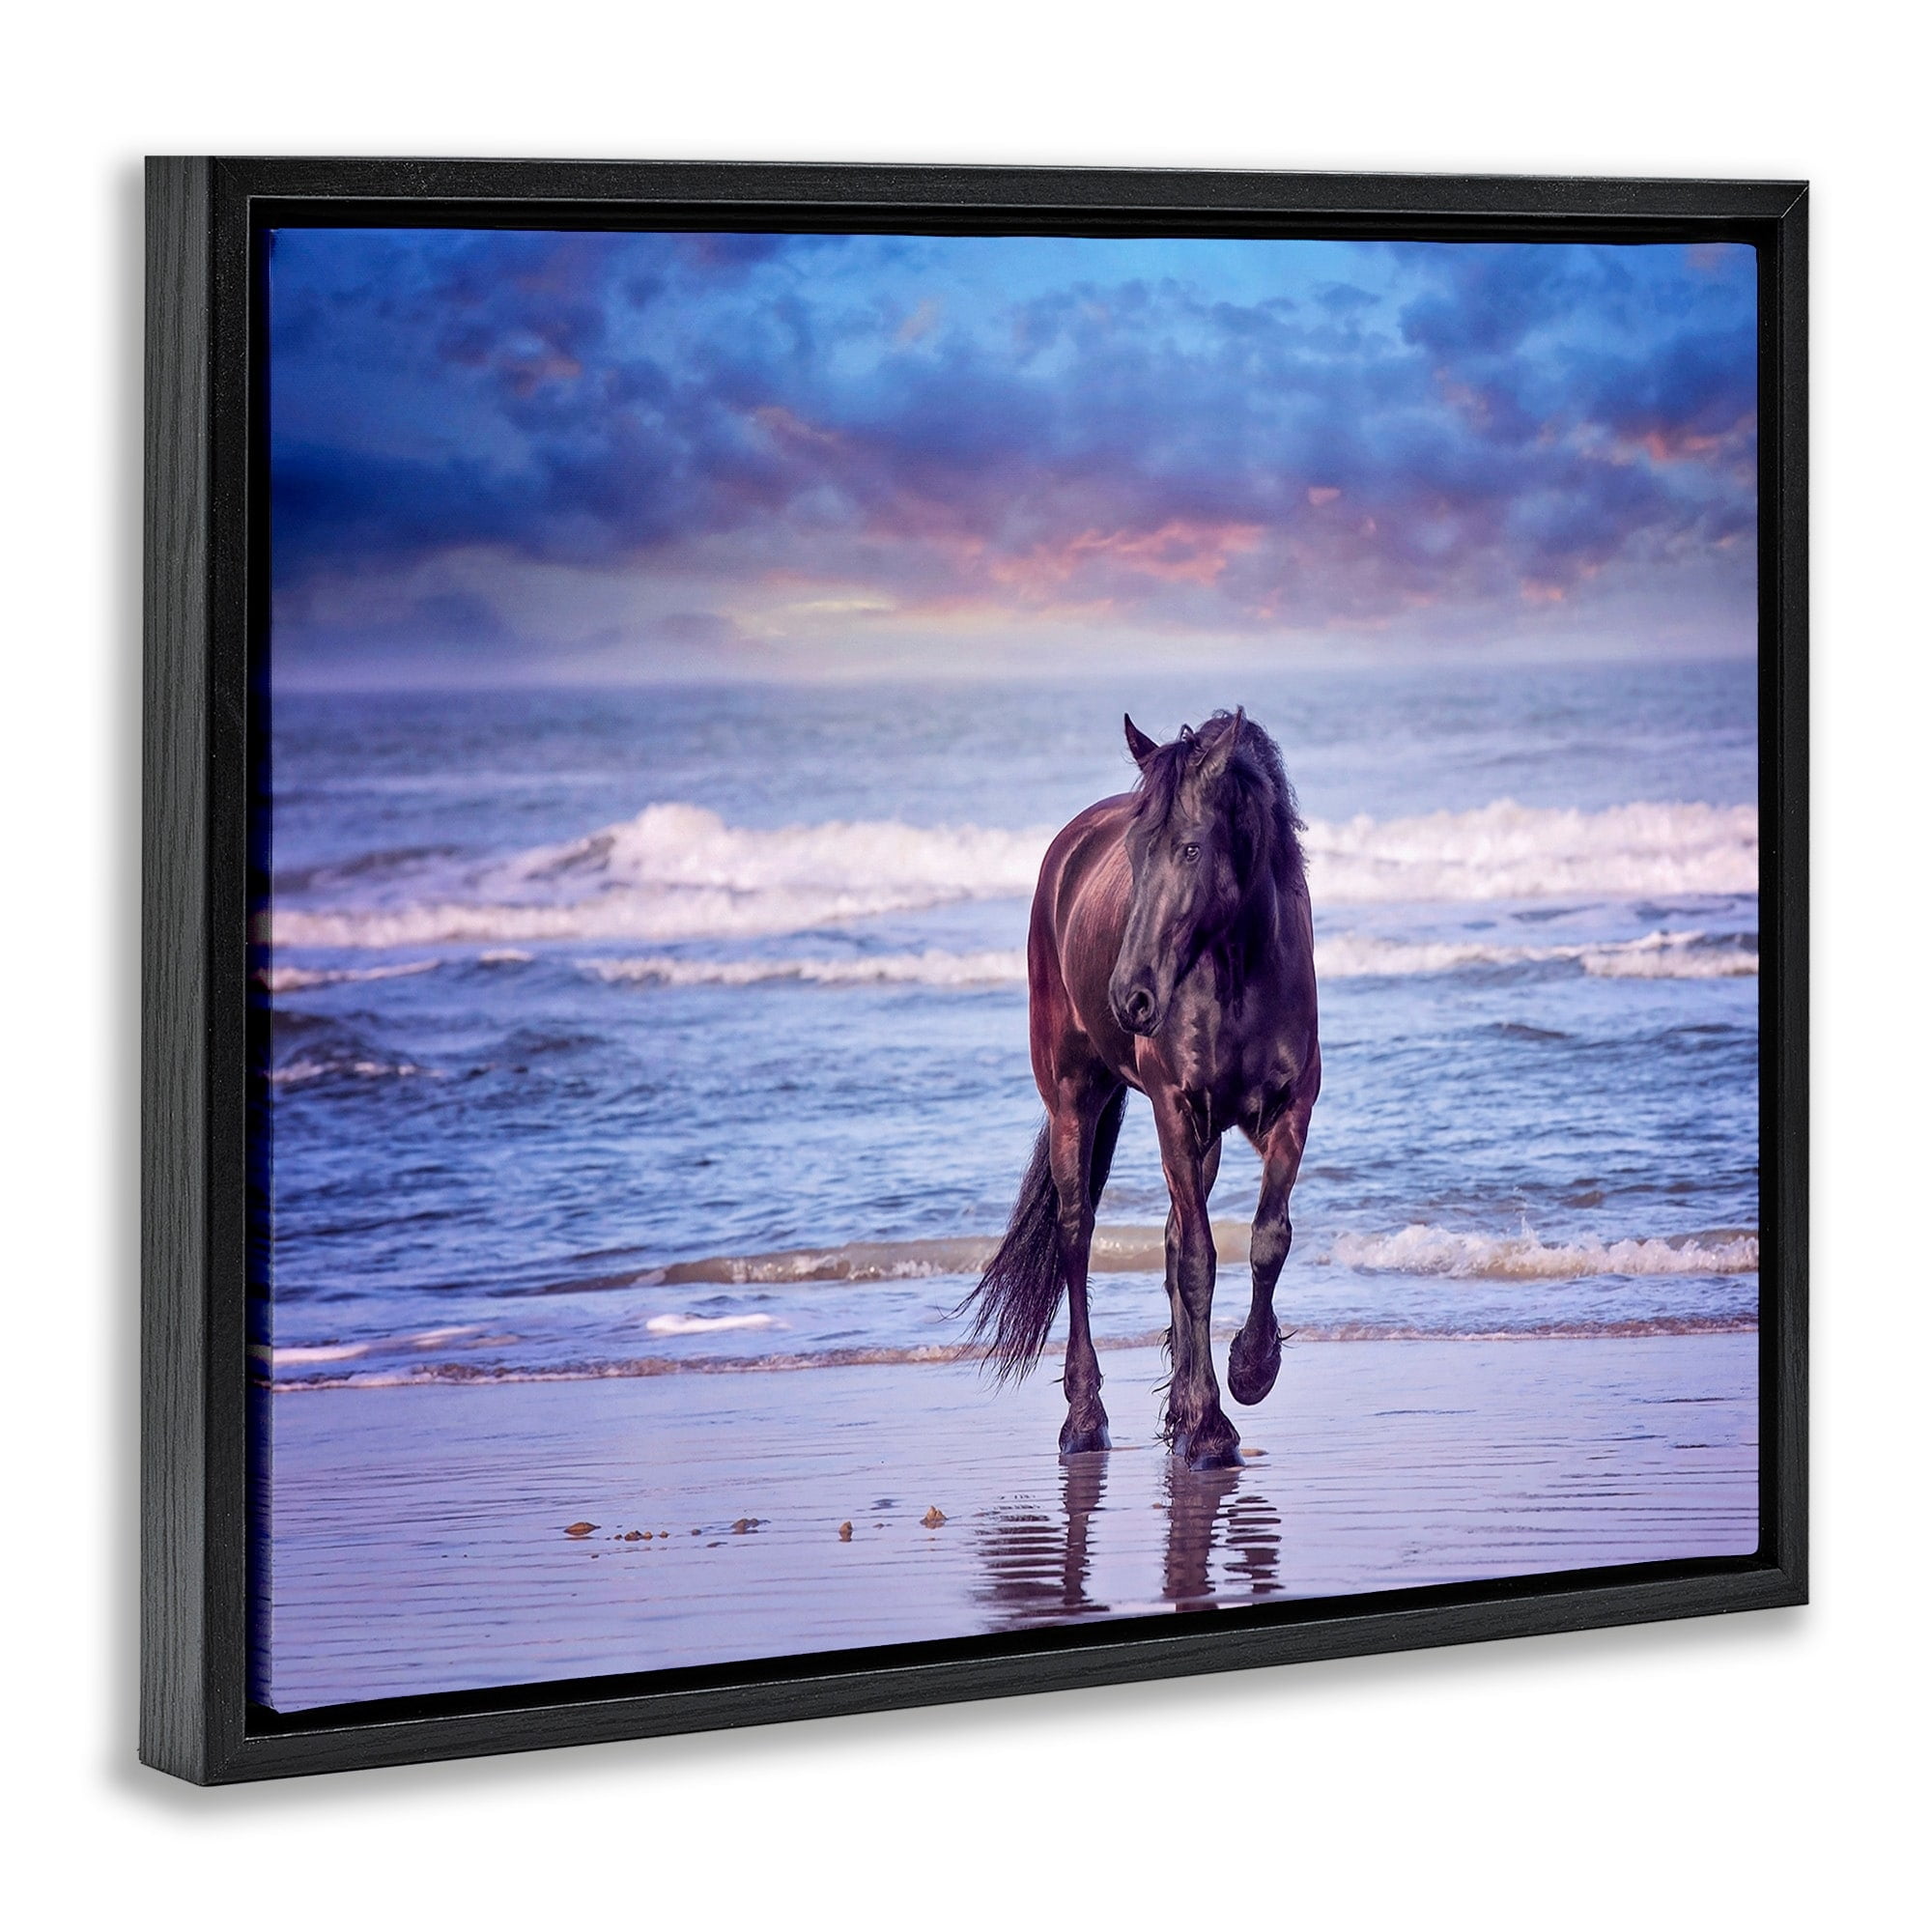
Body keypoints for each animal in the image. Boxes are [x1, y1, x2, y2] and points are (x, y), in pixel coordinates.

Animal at [962, 708, 1321, 1471]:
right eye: (1133, 852)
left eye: (1189, 848)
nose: (1129, 996)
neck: (1237, 974)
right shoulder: (1175, 1111)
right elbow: (1200, 1260)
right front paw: (1213, 1427)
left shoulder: (1289, 1109)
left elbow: (1264, 1240)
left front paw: (1248, 1372)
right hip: (1073, 1099)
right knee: (1077, 1235)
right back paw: (1084, 1420)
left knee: (1171, 1237)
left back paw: (1180, 1407)